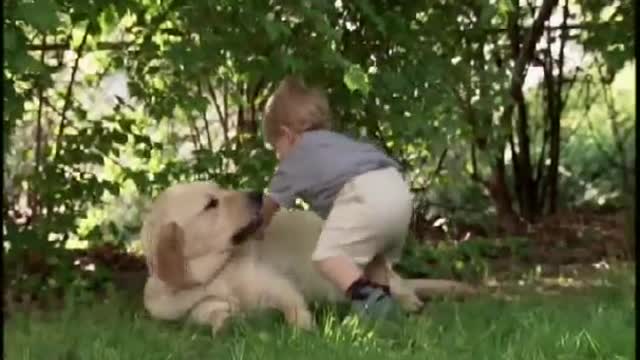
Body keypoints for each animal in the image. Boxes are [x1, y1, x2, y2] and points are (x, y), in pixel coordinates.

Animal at [142, 183, 478, 334]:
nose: (257, 194)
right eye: (211, 204)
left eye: (219, 191)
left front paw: (303, 331)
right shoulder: (193, 307)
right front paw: (226, 323)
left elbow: (293, 308)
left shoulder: (277, 284)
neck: (215, 274)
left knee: (397, 289)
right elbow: (209, 313)